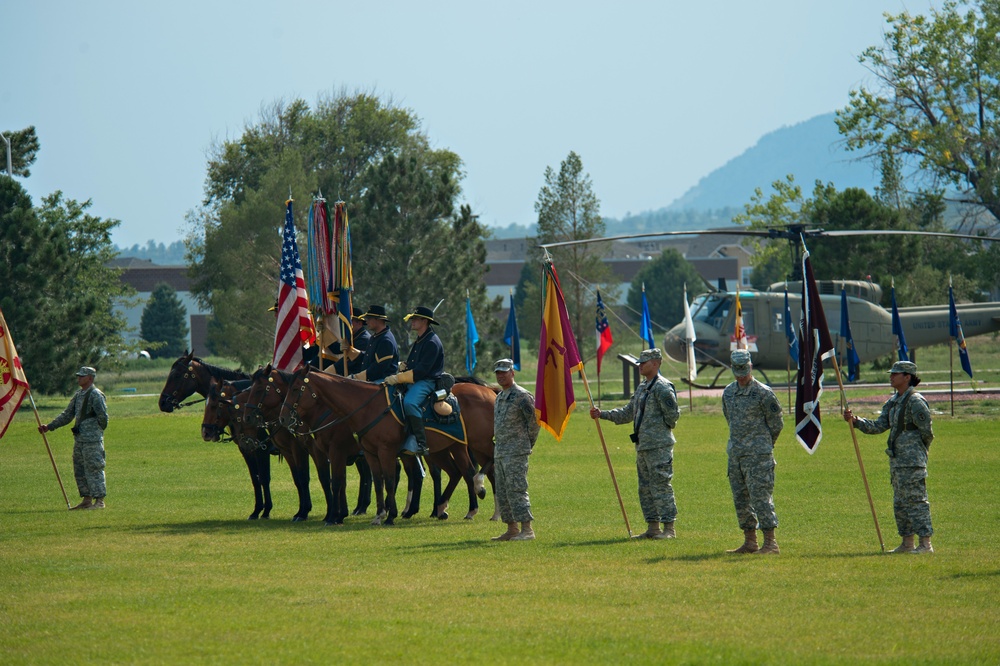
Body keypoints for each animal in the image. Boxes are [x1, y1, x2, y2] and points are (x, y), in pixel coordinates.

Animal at [278, 368, 496, 524]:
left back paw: (480, 491)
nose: (282, 418)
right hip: (449, 448)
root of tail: (489, 392)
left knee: (488, 465)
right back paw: (454, 508)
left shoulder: (377, 451)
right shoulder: (369, 454)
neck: (366, 407)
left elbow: (384, 480)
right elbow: (376, 481)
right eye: (285, 389)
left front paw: (388, 516)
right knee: (462, 471)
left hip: (480, 442)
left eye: (296, 389)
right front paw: (379, 514)